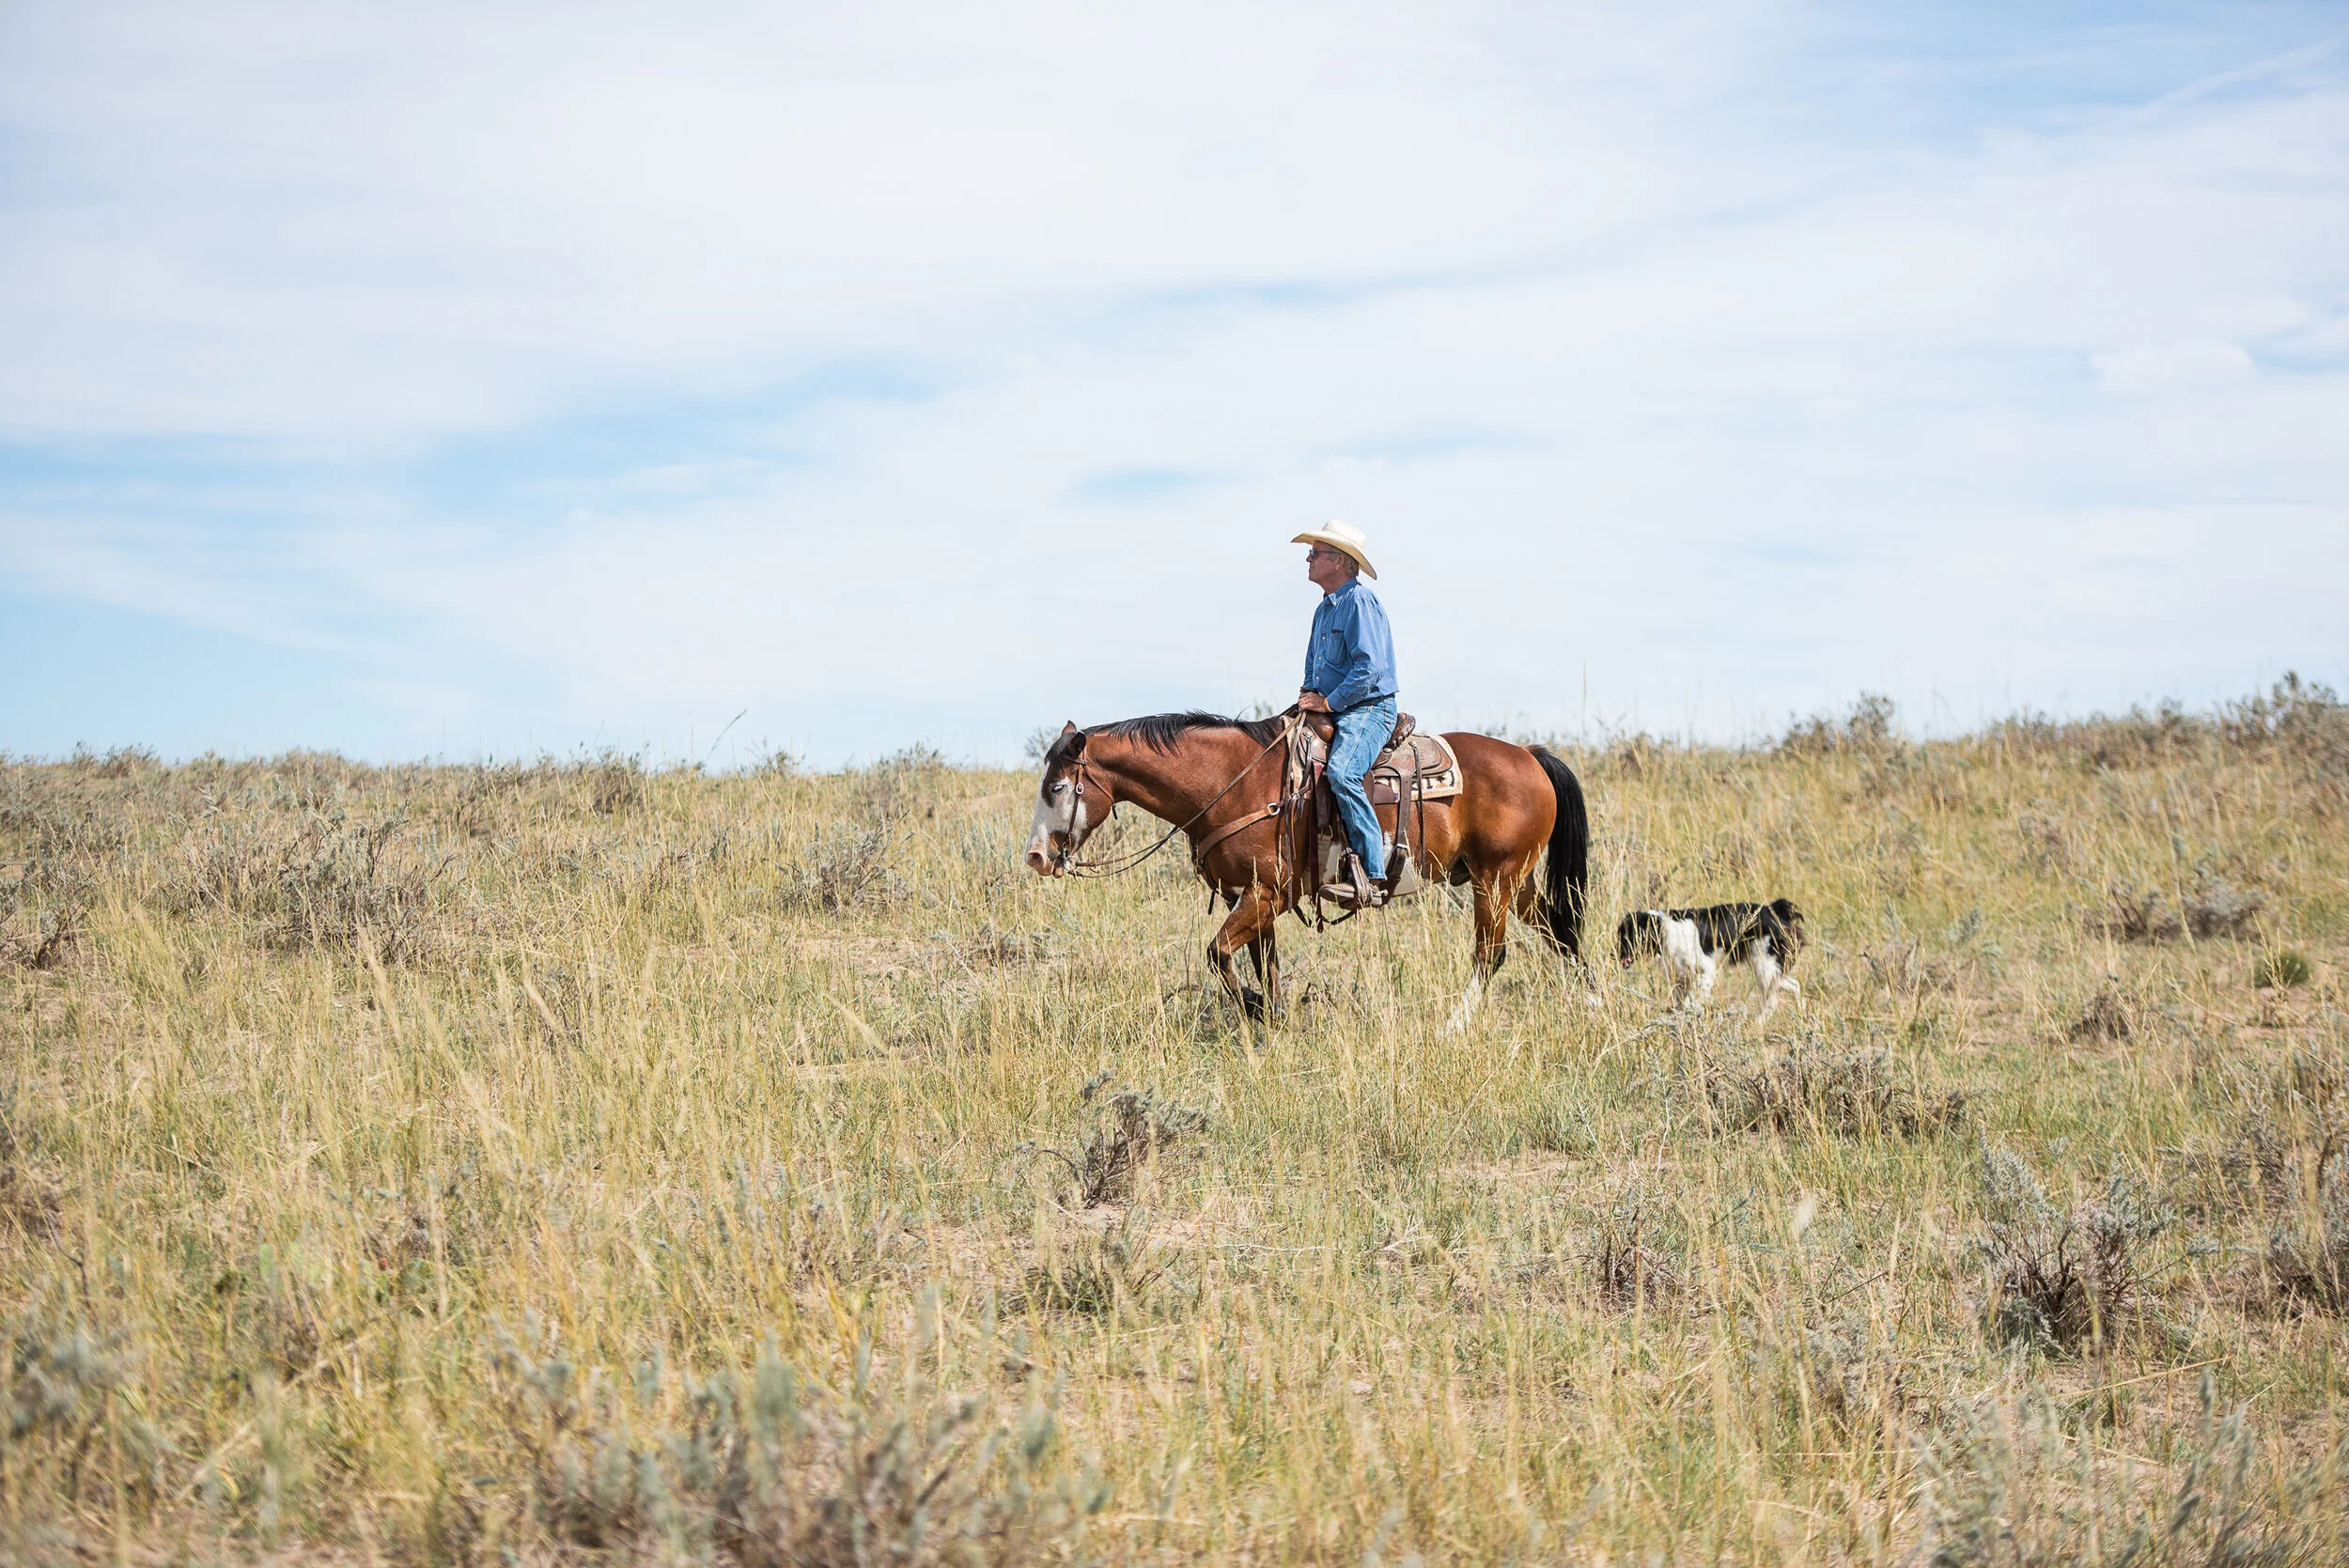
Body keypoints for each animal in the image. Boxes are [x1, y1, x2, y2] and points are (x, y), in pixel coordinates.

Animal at [1021, 711, 1590, 1028]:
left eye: (1057, 787)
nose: (1036, 856)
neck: (1232, 783)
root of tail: (1529, 756)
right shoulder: (1252, 898)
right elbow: (1262, 965)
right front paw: (1273, 1018)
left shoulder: (1264, 896)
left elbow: (1217, 954)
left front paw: (1257, 1010)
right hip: (1514, 881)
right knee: (1560, 929)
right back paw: (1594, 1003)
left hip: (1497, 878)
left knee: (1491, 954)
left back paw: (1453, 1026)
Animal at [1616, 898, 1804, 1018]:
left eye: (1626, 936)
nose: (1613, 955)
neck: (1664, 929)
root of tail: (1776, 911)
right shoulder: (1680, 978)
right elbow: (1681, 1003)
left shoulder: (1705, 972)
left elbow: (1690, 1003)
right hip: (1771, 970)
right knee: (1795, 986)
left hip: (1764, 968)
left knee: (1771, 1002)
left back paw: (1758, 1023)